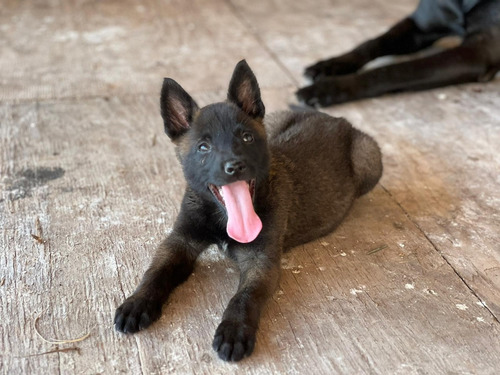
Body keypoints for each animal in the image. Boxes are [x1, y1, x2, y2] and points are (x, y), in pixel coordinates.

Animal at [114, 60, 382, 362]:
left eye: (246, 137)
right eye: (203, 147)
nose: (235, 166)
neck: (224, 217)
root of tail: (337, 120)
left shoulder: (260, 261)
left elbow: (244, 297)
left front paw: (233, 330)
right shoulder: (180, 241)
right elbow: (157, 271)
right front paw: (138, 302)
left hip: (369, 159)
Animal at [296, 0, 500, 107]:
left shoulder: (476, 52)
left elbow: (392, 71)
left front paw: (326, 88)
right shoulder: (419, 25)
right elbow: (371, 43)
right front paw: (331, 64)